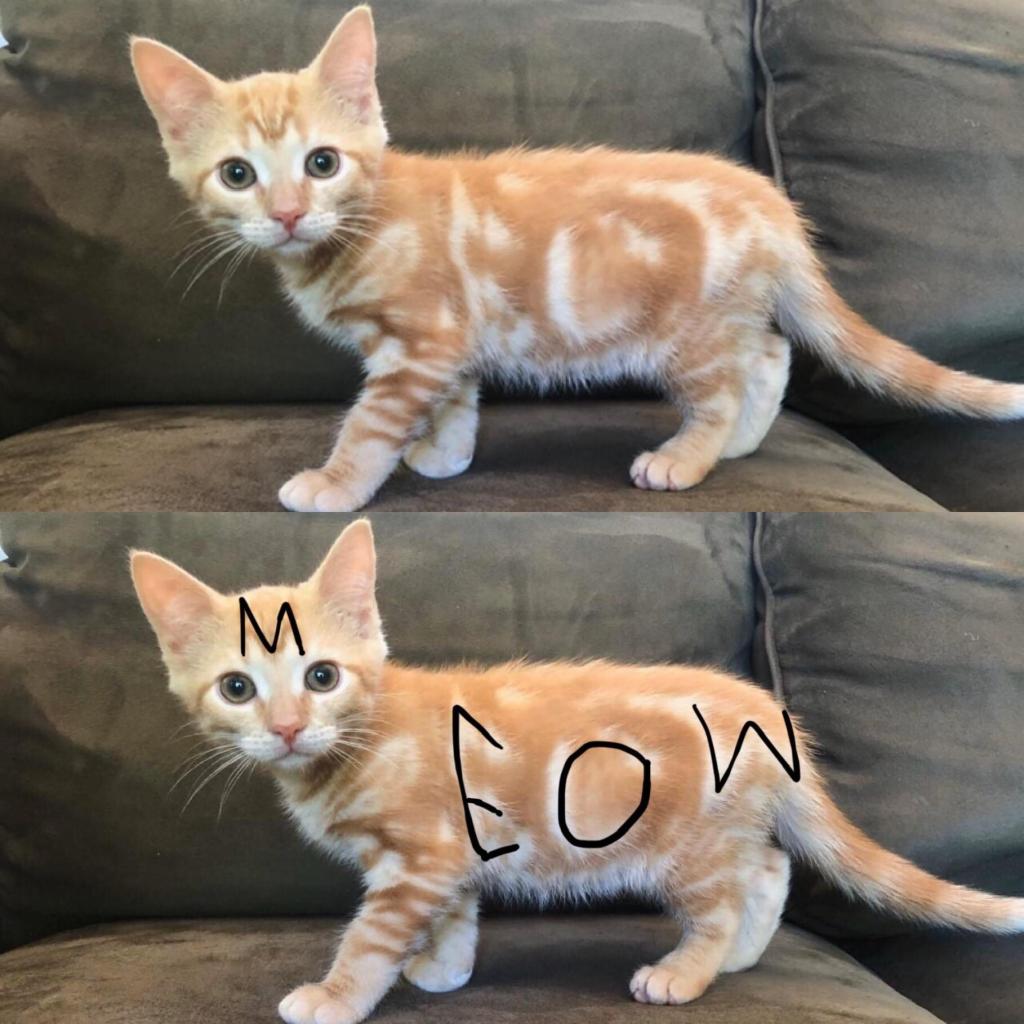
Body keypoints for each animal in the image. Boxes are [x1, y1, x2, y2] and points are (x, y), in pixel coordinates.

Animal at [130, 7, 1024, 512]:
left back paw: (689, 458)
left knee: (728, 384)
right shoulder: (448, 344)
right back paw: (740, 444)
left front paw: (338, 483)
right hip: (726, 319)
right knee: (770, 354)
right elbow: (455, 404)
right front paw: (446, 457)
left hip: (688, 334)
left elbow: (372, 423)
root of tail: (773, 204)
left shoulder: (418, 343)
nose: (286, 215)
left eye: (322, 163)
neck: (366, 222)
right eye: (237, 175)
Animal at [132, 520, 1024, 1024]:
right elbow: (454, 918)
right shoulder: (448, 858)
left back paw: (688, 973)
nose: (286, 729)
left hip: (685, 847)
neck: (365, 737)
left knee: (728, 898)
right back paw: (739, 958)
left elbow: (371, 936)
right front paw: (444, 971)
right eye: (237, 688)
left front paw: (337, 997)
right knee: (769, 868)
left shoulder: (417, 859)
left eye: (321, 676)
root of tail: (768, 708)